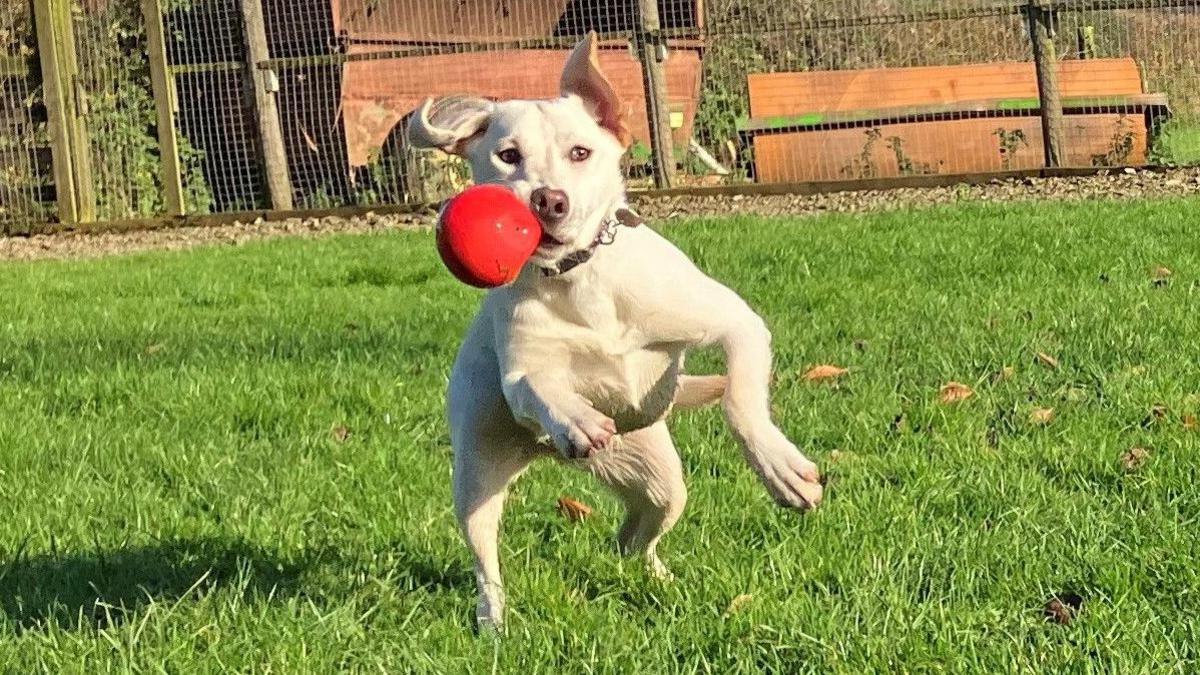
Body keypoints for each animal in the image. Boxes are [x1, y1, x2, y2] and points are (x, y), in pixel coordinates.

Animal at [408, 32, 820, 629]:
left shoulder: (736, 322)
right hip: (477, 476)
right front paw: (576, 419)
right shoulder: (522, 372)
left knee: (633, 537)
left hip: (658, 476)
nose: (548, 200)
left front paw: (781, 469)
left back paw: (658, 579)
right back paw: (494, 621)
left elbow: (740, 400)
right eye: (508, 156)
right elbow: (538, 385)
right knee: (489, 557)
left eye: (580, 153)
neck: (577, 277)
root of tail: (544, 455)